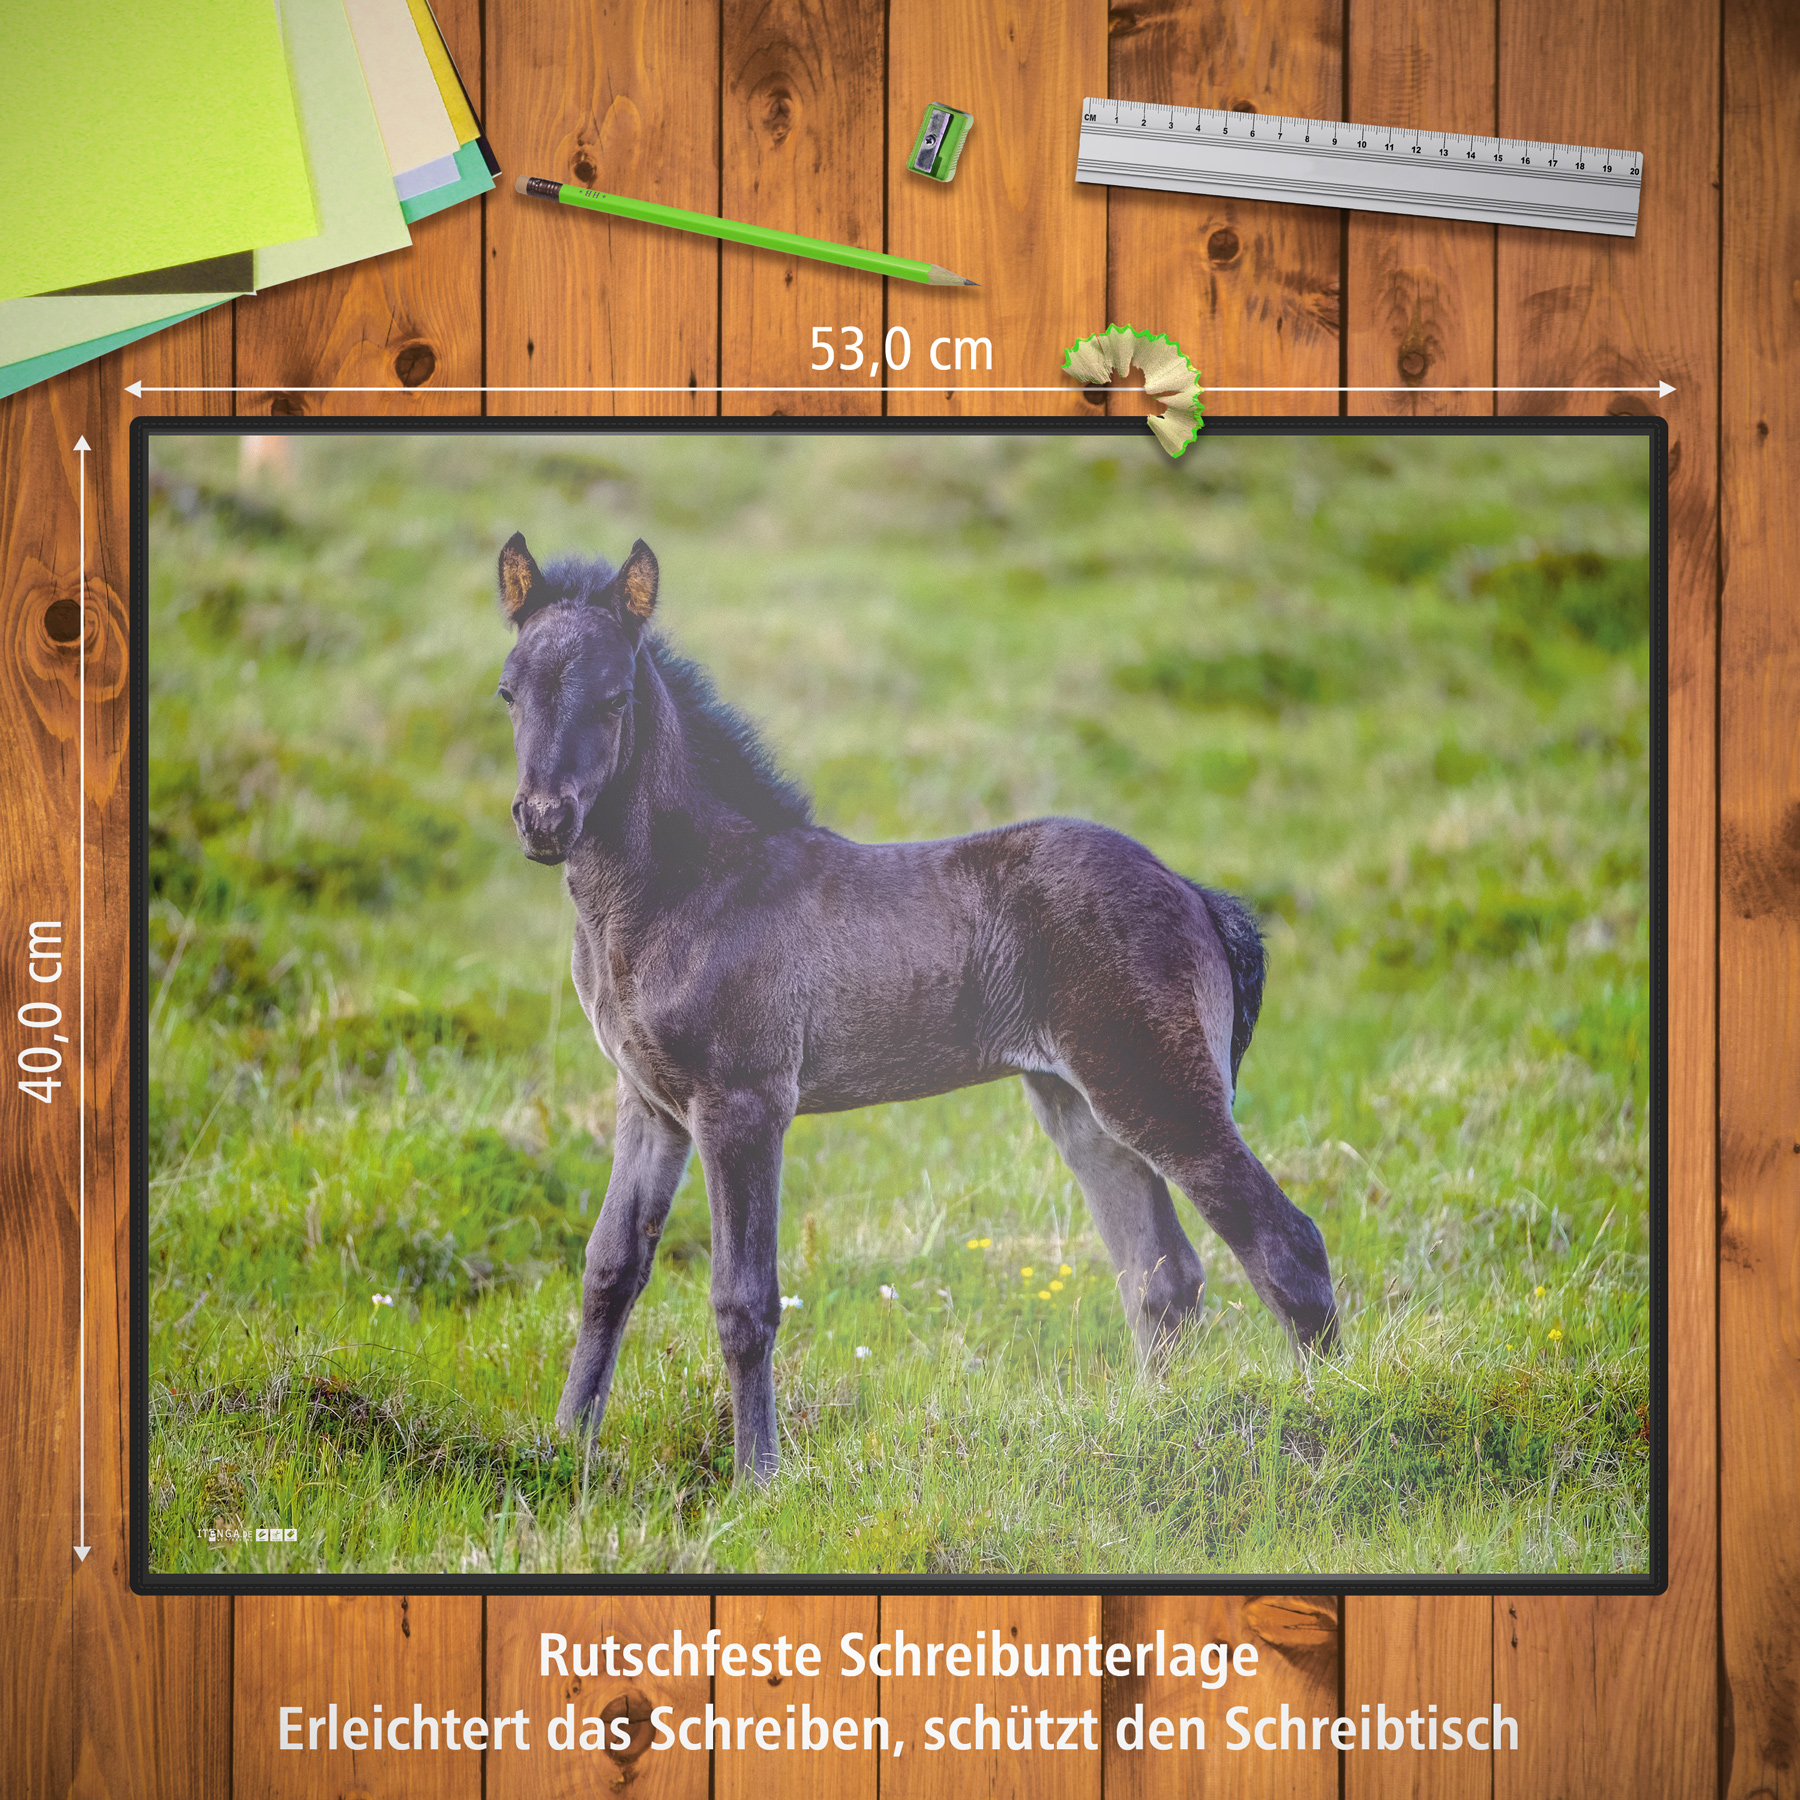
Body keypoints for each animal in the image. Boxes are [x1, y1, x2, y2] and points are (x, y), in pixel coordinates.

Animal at [494, 530, 1339, 1481]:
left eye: (615, 697)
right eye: (509, 690)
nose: (543, 820)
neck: (687, 887)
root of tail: (1192, 892)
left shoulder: (743, 1103)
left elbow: (744, 1299)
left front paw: (759, 1481)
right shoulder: (649, 1103)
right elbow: (608, 1272)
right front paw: (563, 1448)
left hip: (1156, 1089)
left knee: (1286, 1246)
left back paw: (1326, 1413)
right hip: (1079, 1106)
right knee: (1163, 1279)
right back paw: (1163, 1425)